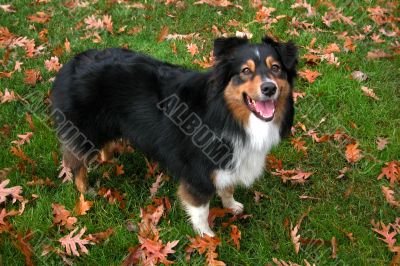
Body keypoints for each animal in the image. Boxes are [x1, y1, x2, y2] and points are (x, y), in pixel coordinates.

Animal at [50, 34, 296, 235]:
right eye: (245, 71)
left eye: (276, 68)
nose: (269, 88)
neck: (226, 113)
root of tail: (72, 62)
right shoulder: (198, 172)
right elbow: (200, 209)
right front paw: (207, 236)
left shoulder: (229, 160)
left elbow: (227, 187)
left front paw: (231, 205)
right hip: (85, 129)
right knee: (76, 163)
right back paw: (87, 190)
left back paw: (109, 159)